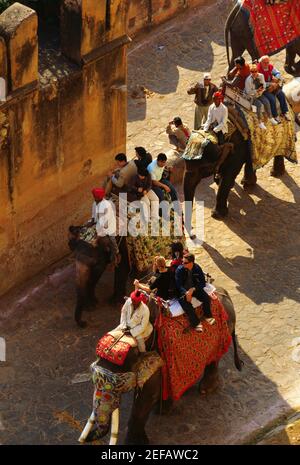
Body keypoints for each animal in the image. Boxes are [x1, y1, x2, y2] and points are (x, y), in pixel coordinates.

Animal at [82, 288, 244, 444]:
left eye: (118, 385)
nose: (86, 439)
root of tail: (223, 292)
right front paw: (163, 410)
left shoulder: (156, 362)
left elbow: (145, 400)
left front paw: (138, 441)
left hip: (225, 329)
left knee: (214, 360)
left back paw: (206, 390)